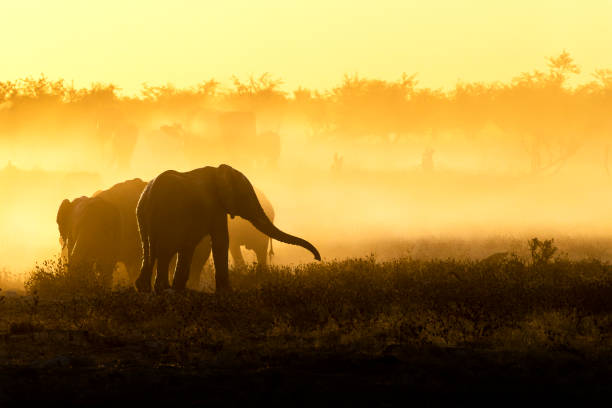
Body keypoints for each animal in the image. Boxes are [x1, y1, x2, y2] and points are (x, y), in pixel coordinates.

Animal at [134, 163, 322, 294]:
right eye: (245, 196)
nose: (317, 258)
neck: (219, 171)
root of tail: (152, 195)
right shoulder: (214, 207)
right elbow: (220, 241)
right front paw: (227, 292)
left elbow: (190, 246)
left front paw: (181, 290)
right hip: (169, 216)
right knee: (164, 251)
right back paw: (162, 289)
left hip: (142, 216)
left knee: (150, 249)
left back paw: (147, 289)